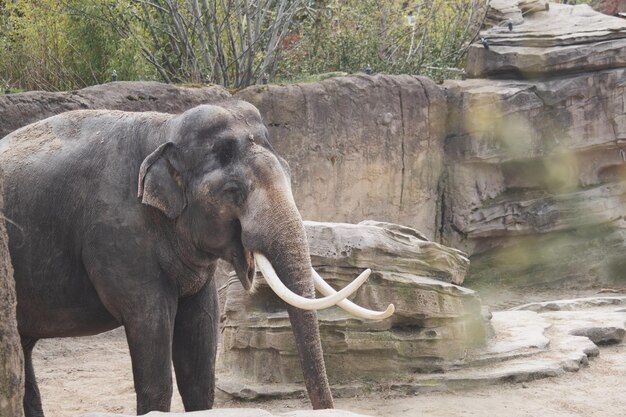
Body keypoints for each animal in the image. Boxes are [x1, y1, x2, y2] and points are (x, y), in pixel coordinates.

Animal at [0, 101, 390, 416]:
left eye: (290, 175)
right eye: (233, 191)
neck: (164, 129)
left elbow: (200, 339)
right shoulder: (115, 235)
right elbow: (150, 325)